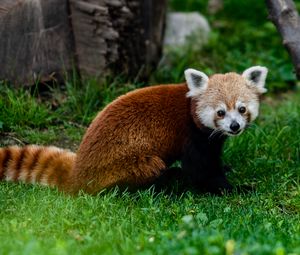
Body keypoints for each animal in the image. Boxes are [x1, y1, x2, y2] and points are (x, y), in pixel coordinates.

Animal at [0, 66, 268, 194]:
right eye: (220, 112)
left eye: (242, 109)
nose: (234, 126)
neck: (191, 108)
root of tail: (77, 172)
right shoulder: (192, 137)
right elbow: (201, 171)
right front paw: (236, 189)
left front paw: (227, 168)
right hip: (130, 164)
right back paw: (166, 183)